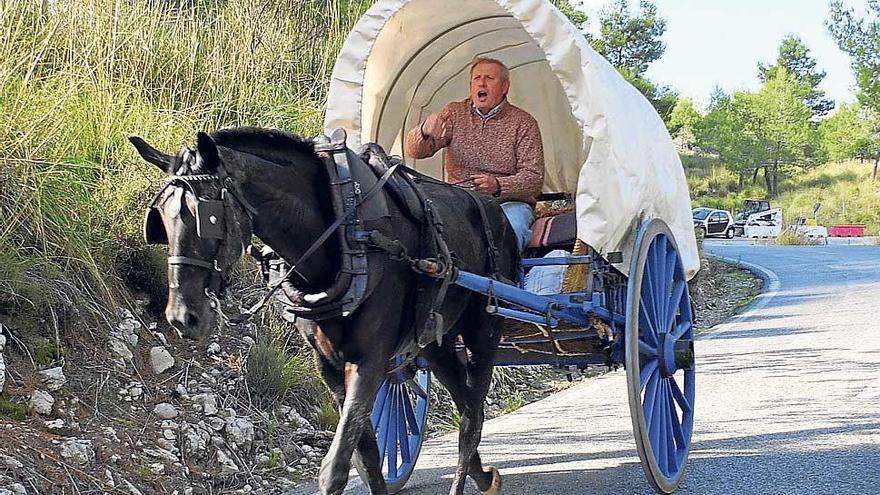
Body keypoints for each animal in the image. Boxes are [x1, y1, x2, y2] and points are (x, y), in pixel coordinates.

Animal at [130, 129, 516, 495]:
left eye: (207, 218)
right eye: (160, 222)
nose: (182, 315)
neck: (345, 233)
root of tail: (496, 210)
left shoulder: (370, 360)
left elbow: (336, 467)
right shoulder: (328, 365)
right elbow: (367, 455)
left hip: (484, 331)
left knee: (471, 419)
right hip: (435, 342)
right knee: (465, 404)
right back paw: (484, 477)